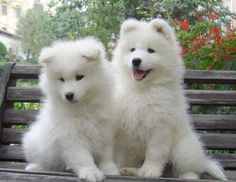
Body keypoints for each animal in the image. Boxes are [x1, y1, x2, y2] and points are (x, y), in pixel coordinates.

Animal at [22, 37, 120, 182]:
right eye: (61, 79)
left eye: (79, 77)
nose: (68, 95)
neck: (83, 107)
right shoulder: (71, 135)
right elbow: (83, 157)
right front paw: (91, 172)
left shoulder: (104, 130)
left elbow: (106, 154)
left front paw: (109, 170)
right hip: (33, 143)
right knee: (43, 161)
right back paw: (35, 167)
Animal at [112, 18, 227, 181]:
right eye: (132, 49)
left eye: (151, 50)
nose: (136, 61)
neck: (142, 90)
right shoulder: (121, 127)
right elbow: (116, 152)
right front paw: (113, 168)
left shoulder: (160, 127)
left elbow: (154, 153)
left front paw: (150, 171)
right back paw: (129, 170)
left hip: (183, 149)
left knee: (190, 169)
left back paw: (187, 176)